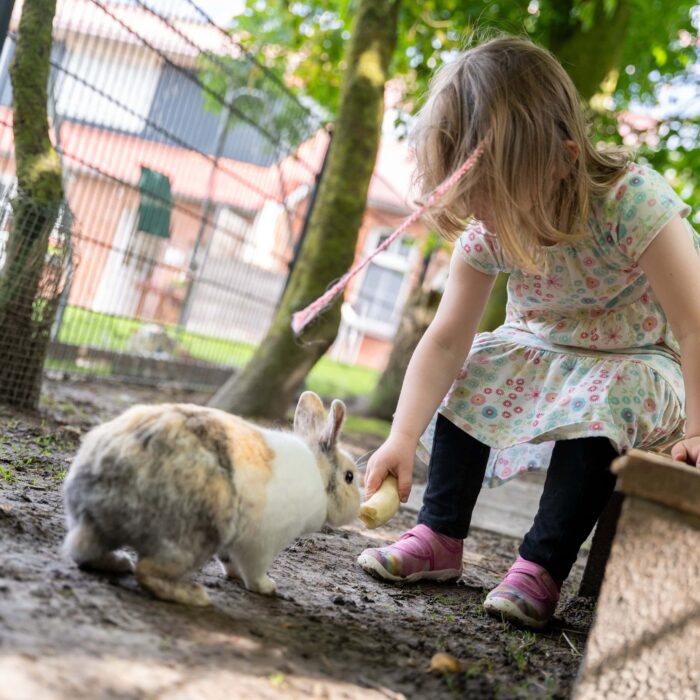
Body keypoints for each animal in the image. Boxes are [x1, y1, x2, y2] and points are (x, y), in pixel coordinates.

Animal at [61, 392, 360, 604]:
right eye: (349, 477)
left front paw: (236, 577)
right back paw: (193, 596)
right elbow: (255, 569)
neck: (319, 478)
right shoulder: (263, 543)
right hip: (195, 537)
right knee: (147, 571)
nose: (357, 508)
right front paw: (266, 587)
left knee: (84, 552)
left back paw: (118, 562)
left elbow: (230, 562)